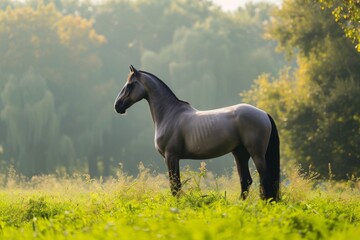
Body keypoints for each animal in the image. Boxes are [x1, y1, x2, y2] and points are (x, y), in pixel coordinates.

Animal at [114, 65, 280, 201]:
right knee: (246, 181)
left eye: (130, 85)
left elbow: (175, 186)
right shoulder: (174, 158)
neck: (170, 114)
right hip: (240, 153)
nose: (117, 106)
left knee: (265, 179)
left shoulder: (171, 156)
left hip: (256, 153)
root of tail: (263, 113)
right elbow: (176, 185)